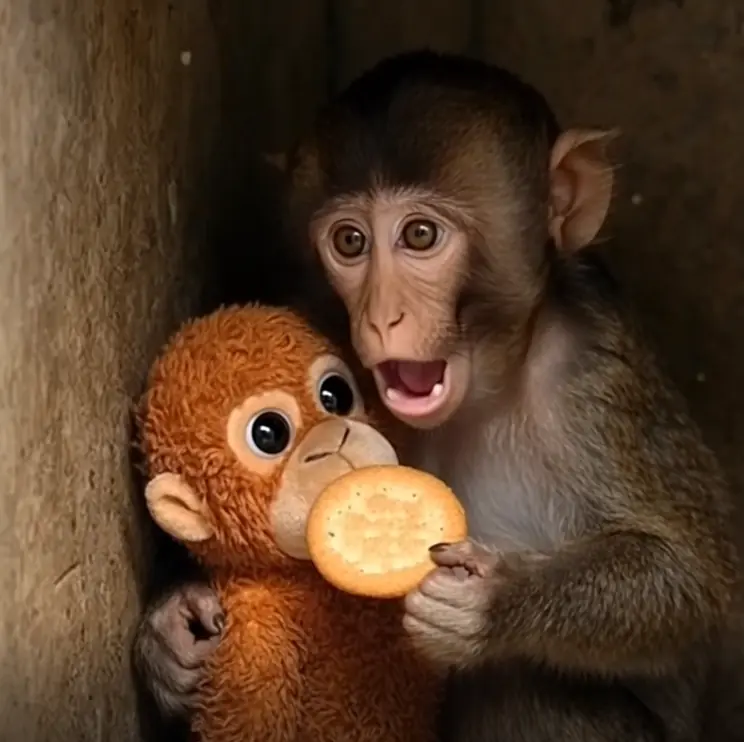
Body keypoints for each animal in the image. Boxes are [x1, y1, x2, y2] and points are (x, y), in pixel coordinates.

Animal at [133, 50, 743, 741]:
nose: (381, 318)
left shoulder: (593, 374)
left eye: (420, 235)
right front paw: (172, 630)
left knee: (518, 690)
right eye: (350, 242)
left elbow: (693, 582)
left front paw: (495, 601)